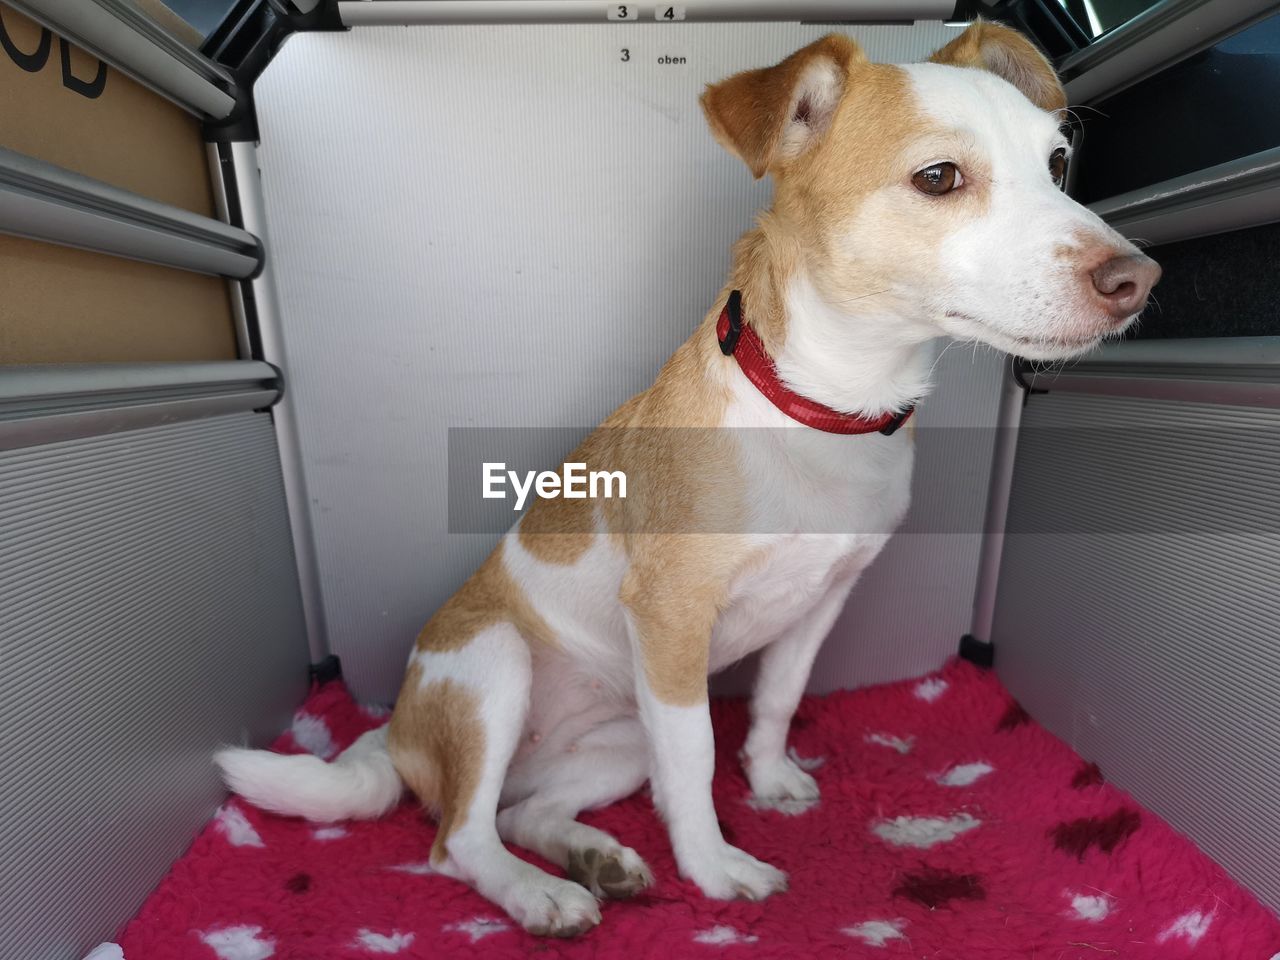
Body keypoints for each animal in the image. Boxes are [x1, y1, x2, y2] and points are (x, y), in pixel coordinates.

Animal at [217, 22, 1162, 942]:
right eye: (939, 177)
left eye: (1056, 164)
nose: (1138, 278)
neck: (823, 410)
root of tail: (398, 732)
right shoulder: (671, 623)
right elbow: (696, 762)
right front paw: (713, 871)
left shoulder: (823, 601)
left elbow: (777, 701)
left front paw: (771, 780)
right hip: (495, 663)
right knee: (460, 840)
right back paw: (540, 896)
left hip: (616, 741)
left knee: (523, 814)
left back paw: (593, 858)